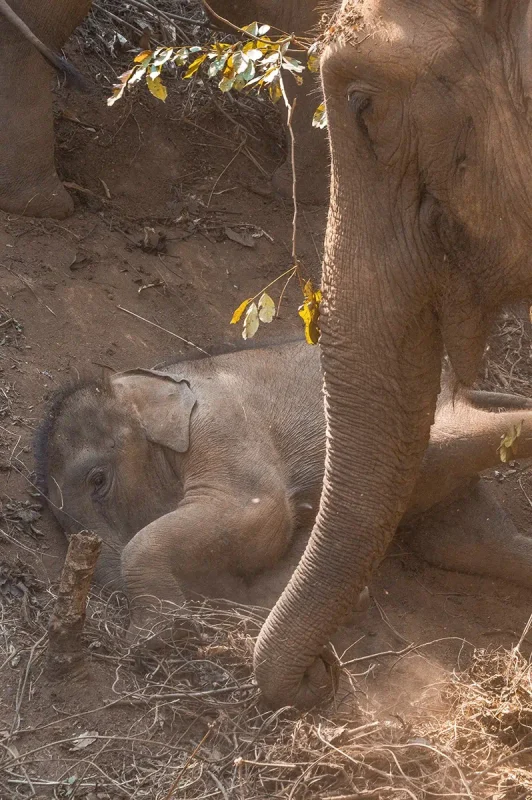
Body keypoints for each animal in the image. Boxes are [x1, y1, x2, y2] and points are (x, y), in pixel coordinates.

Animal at [36, 340, 532, 643]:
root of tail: (455, 384)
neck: (156, 380)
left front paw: (153, 635)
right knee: (465, 542)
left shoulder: (221, 423)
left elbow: (259, 511)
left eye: (98, 481)